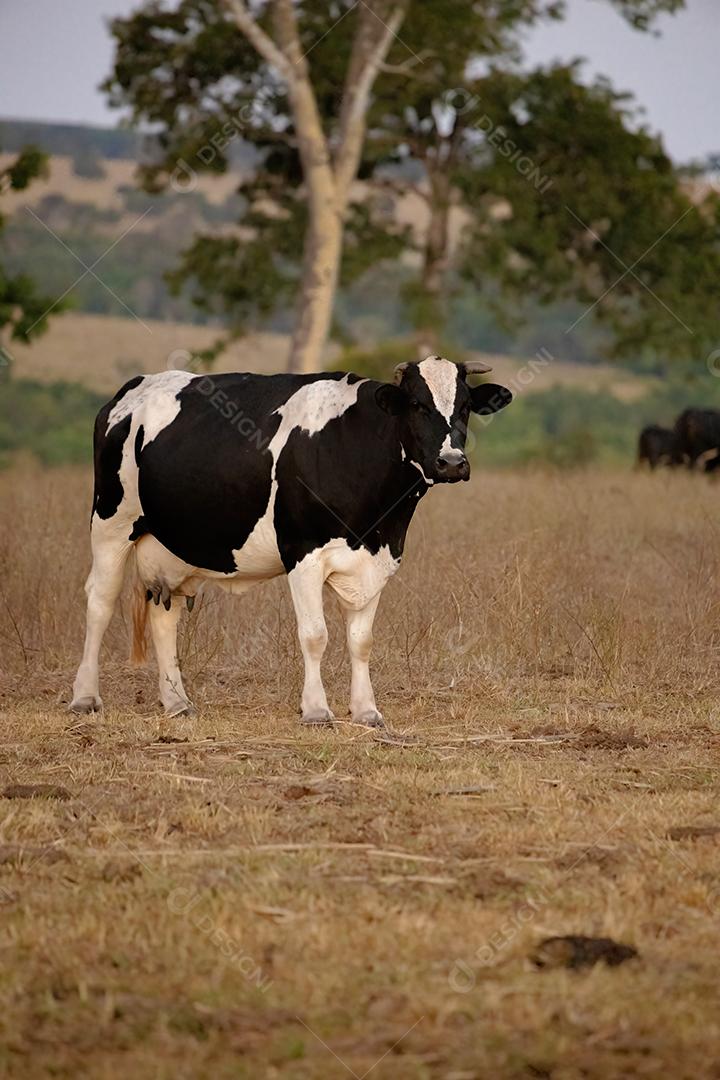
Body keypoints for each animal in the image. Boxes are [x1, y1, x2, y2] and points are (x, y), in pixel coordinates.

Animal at [70, 356, 512, 727]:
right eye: (418, 405)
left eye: (465, 407)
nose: (452, 463)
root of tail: (134, 387)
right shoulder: (303, 553)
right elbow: (315, 635)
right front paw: (316, 710)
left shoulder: (378, 560)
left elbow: (361, 641)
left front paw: (366, 711)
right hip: (111, 522)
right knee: (100, 602)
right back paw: (85, 697)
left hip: (173, 545)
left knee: (165, 615)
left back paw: (177, 701)